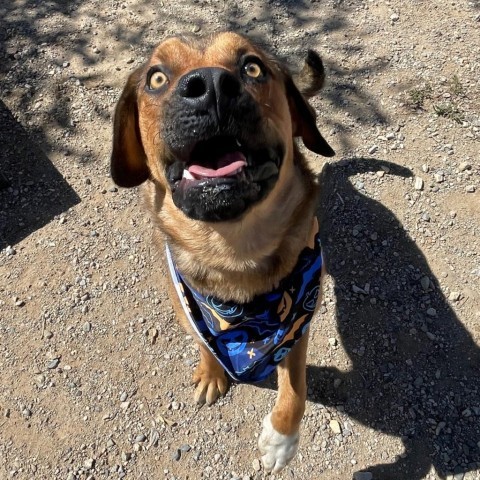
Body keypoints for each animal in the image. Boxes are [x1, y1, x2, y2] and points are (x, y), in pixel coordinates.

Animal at [109, 31, 334, 472]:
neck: (232, 251)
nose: (210, 86)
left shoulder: (300, 320)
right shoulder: (188, 305)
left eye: (252, 67)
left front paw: (280, 440)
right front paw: (212, 372)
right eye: (156, 78)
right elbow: (204, 341)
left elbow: (296, 390)